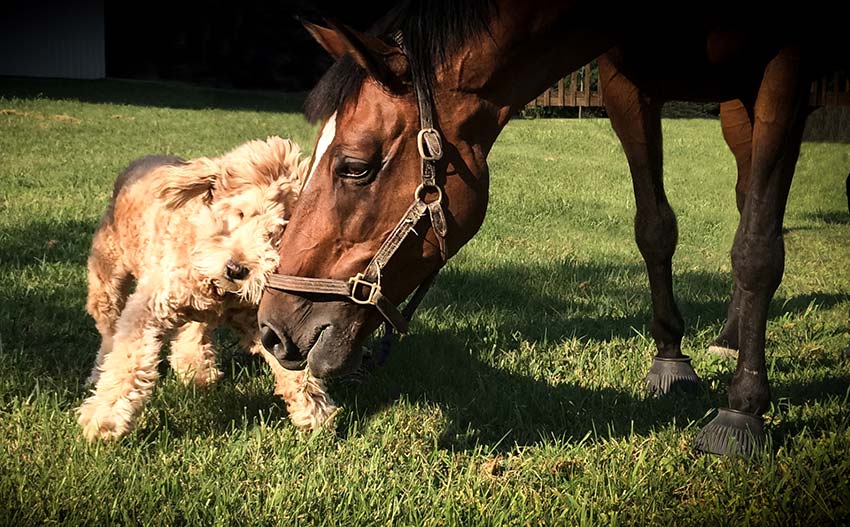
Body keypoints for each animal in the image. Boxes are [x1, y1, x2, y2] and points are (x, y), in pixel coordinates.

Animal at [76, 136, 334, 442]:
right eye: (240, 213)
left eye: (279, 232)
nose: (236, 269)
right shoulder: (151, 305)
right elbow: (129, 357)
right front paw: (105, 418)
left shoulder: (259, 320)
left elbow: (290, 363)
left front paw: (315, 411)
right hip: (106, 274)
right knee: (109, 331)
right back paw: (99, 372)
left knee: (193, 330)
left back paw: (196, 370)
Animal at [258, 0, 848, 456]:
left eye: (354, 166)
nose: (271, 330)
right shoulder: (626, 85)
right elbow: (654, 227)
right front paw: (670, 360)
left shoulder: (785, 67)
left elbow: (757, 248)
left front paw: (742, 410)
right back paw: (727, 336)